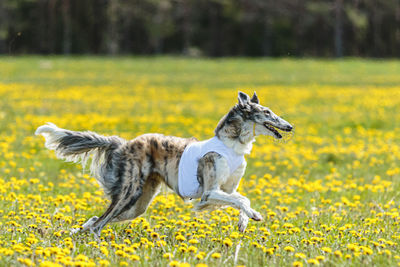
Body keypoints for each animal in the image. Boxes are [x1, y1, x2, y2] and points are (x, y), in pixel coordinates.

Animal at [36, 92, 294, 237]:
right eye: (267, 112)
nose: (290, 126)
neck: (231, 144)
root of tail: (124, 143)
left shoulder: (226, 189)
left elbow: (241, 200)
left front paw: (245, 221)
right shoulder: (209, 193)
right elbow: (241, 200)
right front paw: (254, 215)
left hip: (138, 205)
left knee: (93, 221)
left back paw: (76, 232)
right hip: (129, 194)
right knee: (99, 223)